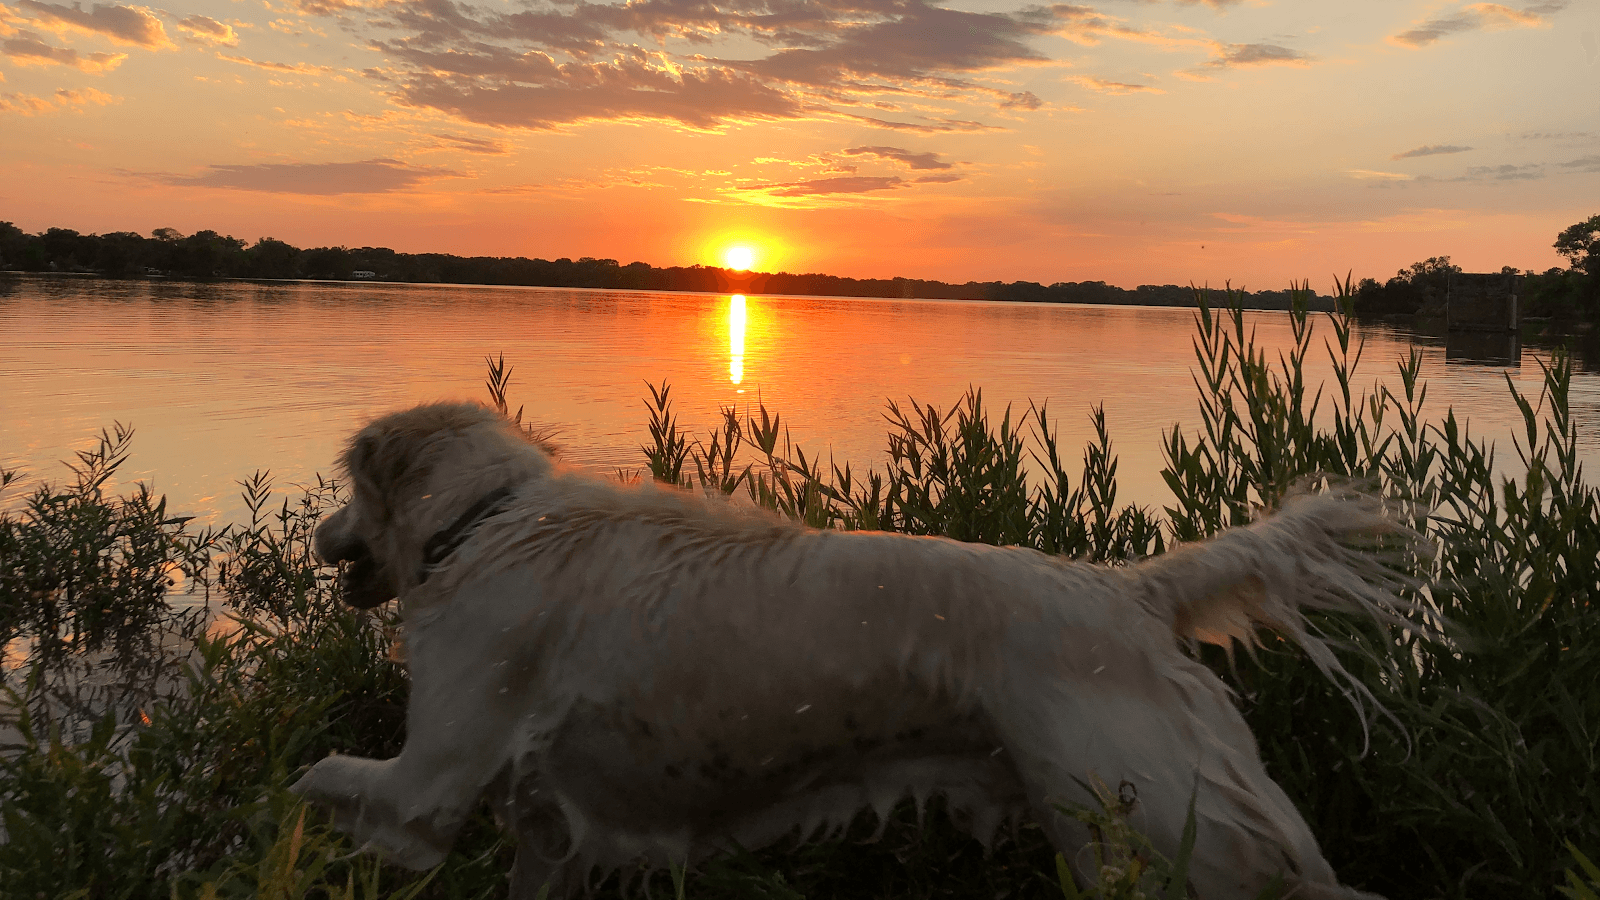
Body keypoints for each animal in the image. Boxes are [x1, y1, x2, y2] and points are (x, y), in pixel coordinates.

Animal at [294, 400, 1408, 896]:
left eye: (345, 488)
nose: (319, 539)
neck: (485, 524)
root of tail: (1126, 588)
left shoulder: (429, 780)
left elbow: (312, 778)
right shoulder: (549, 834)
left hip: (1158, 834)